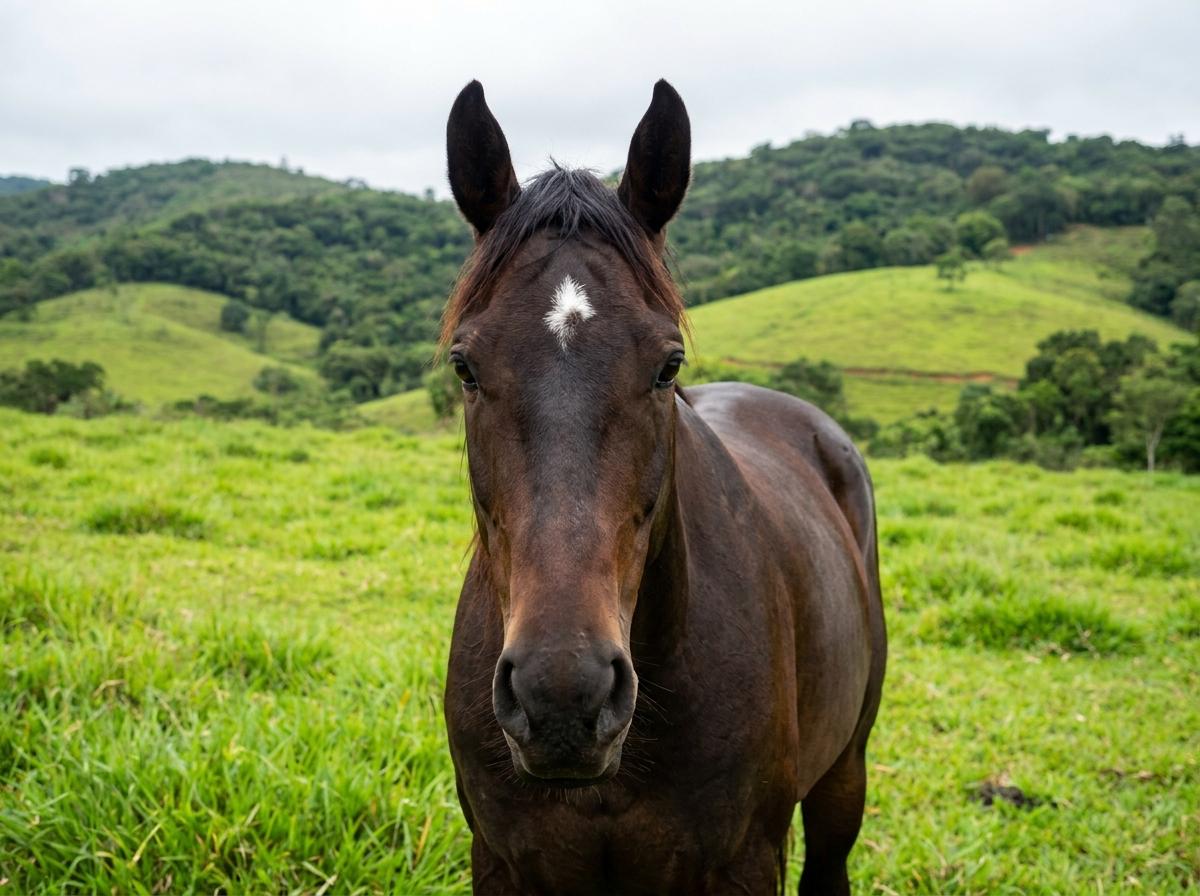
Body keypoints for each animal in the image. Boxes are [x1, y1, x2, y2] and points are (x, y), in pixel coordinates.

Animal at [441, 79, 886, 896]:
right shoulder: (503, 860)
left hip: (845, 772)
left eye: (667, 365)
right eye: (465, 366)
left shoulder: (746, 861)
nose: (563, 693)